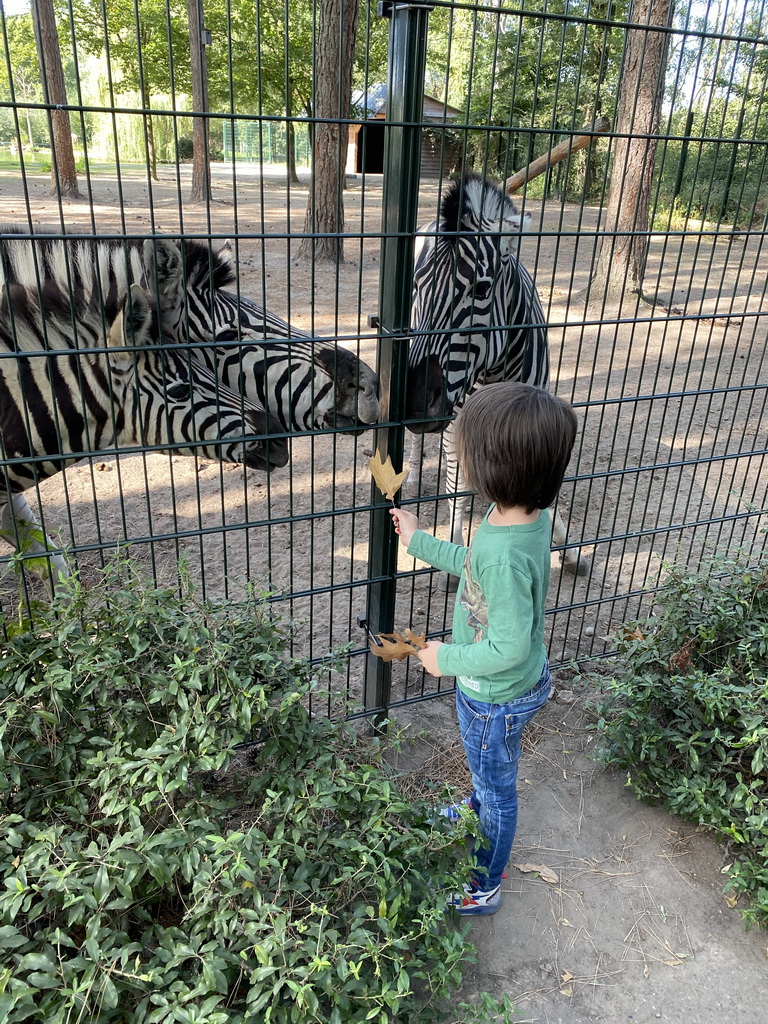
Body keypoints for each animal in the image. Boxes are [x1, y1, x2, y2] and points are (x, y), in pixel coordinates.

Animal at [405, 172, 585, 581]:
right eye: (417, 285)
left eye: (482, 289)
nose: (417, 404)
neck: (497, 365)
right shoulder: (456, 417)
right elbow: (455, 481)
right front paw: (454, 547)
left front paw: (567, 547)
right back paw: (411, 475)